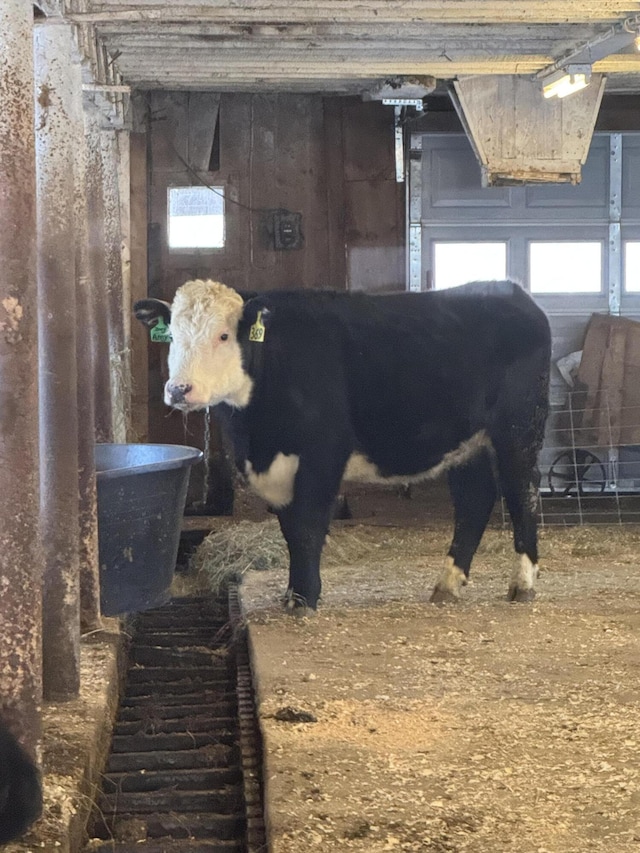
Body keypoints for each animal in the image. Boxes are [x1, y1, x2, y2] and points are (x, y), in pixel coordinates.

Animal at [135, 282, 552, 612]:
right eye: (171, 336)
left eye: (223, 336)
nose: (179, 389)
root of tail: (509, 290)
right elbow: (289, 528)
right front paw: (293, 592)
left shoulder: (323, 453)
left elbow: (306, 525)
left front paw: (304, 598)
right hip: (467, 442)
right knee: (475, 499)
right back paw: (448, 583)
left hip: (518, 429)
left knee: (523, 494)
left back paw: (523, 583)